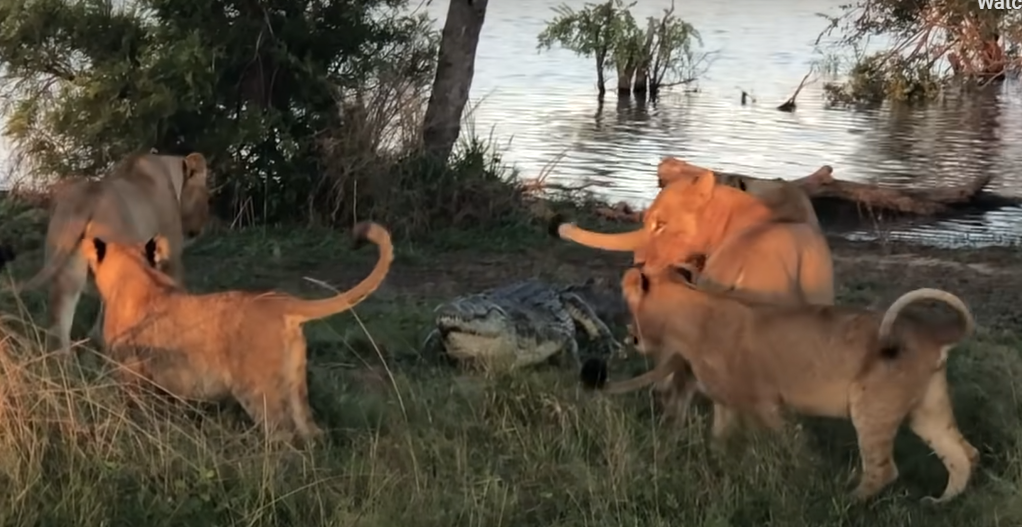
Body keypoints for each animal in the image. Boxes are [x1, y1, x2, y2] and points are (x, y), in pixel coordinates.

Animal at [19, 154, 211, 355]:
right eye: (207, 196)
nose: (201, 227)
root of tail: (88, 197)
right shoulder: (170, 258)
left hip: (66, 270)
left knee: (59, 327)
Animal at [77, 220, 390, 443]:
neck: (137, 272)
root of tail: (279, 300)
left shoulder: (129, 373)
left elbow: (132, 411)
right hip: (296, 385)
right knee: (313, 433)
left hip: (257, 390)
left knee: (283, 435)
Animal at [592, 265, 981, 504]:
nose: (629, 336)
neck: (690, 311)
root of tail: (934, 331)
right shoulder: (726, 402)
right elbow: (719, 439)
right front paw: (719, 466)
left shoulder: (766, 402)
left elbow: (791, 446)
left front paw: (801, 478)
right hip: (926, 411)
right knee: (965, 454)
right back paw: (938, 503)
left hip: (872, 406)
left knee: (883, 469)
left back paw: (845, 500)